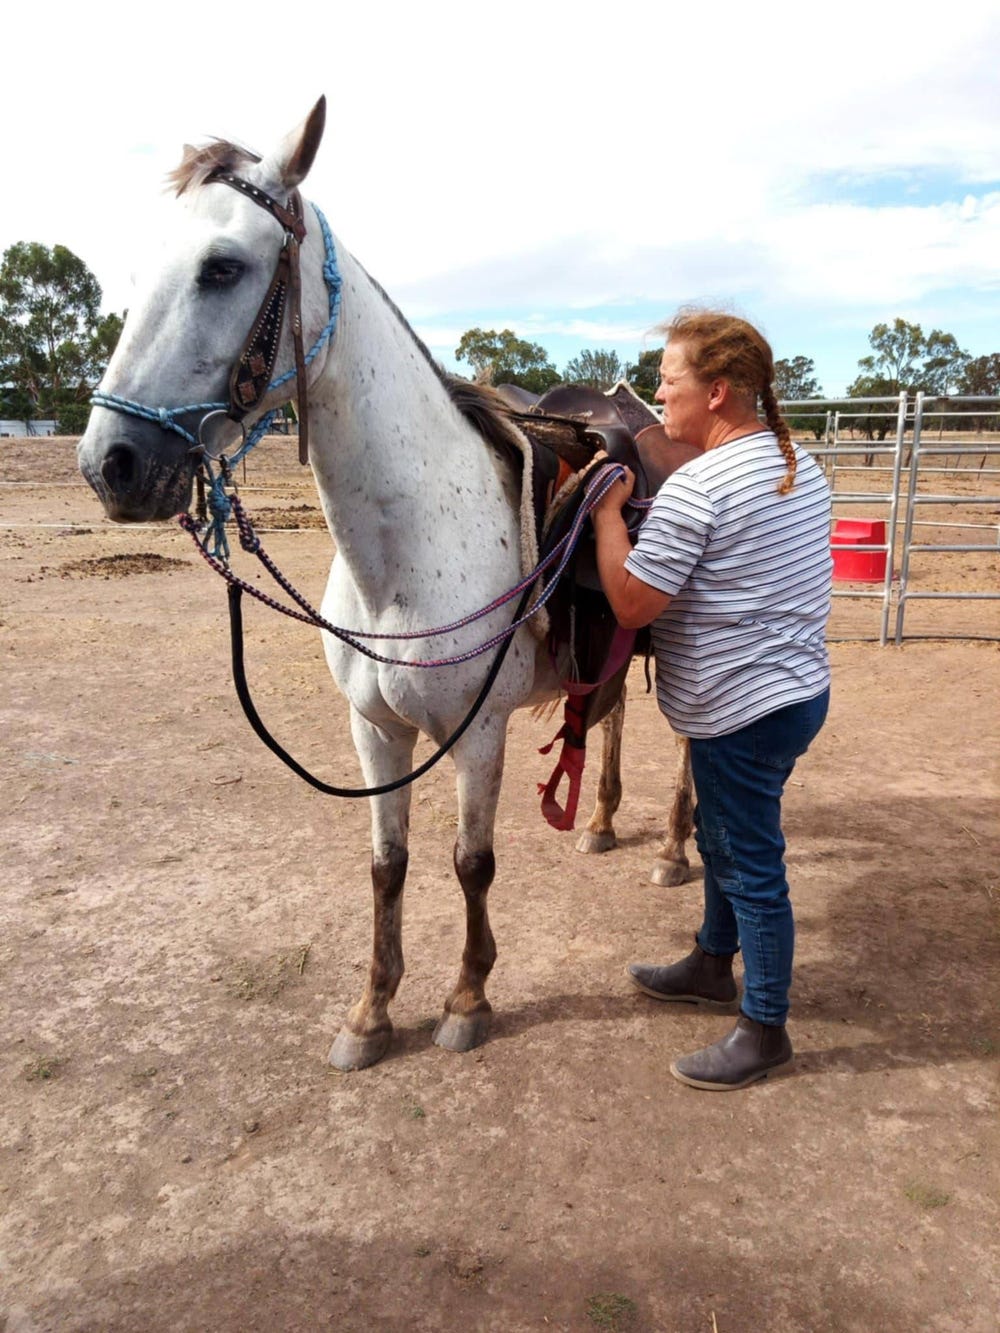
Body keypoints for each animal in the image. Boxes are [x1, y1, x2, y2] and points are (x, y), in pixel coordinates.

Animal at [77, 97, 691, 1070]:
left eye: (223, 267)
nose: (112, 464)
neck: (403, 562)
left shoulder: (477, 737)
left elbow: (471, 863)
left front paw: (468, 999)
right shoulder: (374, 730)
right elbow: (387, 865)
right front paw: (371, 1012)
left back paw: (674, 848)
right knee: (612, 714)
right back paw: (597, 823)